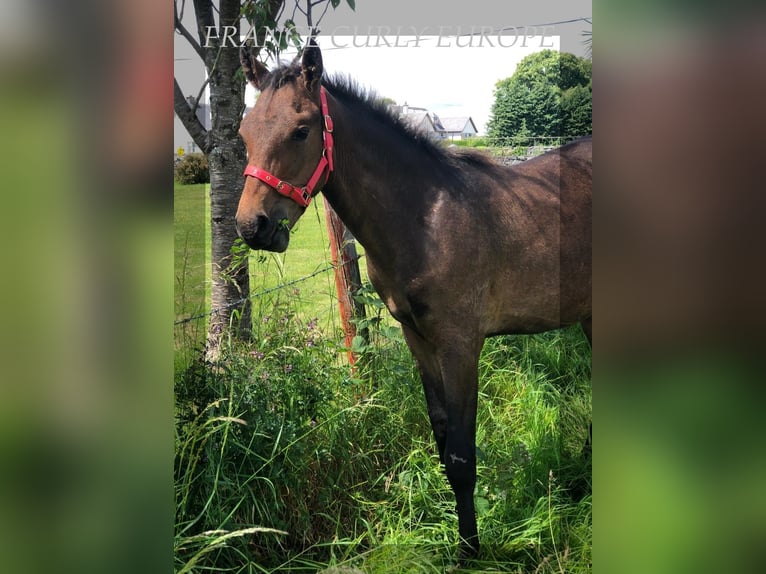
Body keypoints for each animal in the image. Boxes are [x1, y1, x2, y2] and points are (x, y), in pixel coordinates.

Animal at [236, 39, 592, 560]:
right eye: (244, 131)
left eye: (301, 130)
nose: (252, 227)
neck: (425, 218)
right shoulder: (417, 338)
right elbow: (442, 437)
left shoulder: (460, 344)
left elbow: (462, 453)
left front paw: (470, 552)